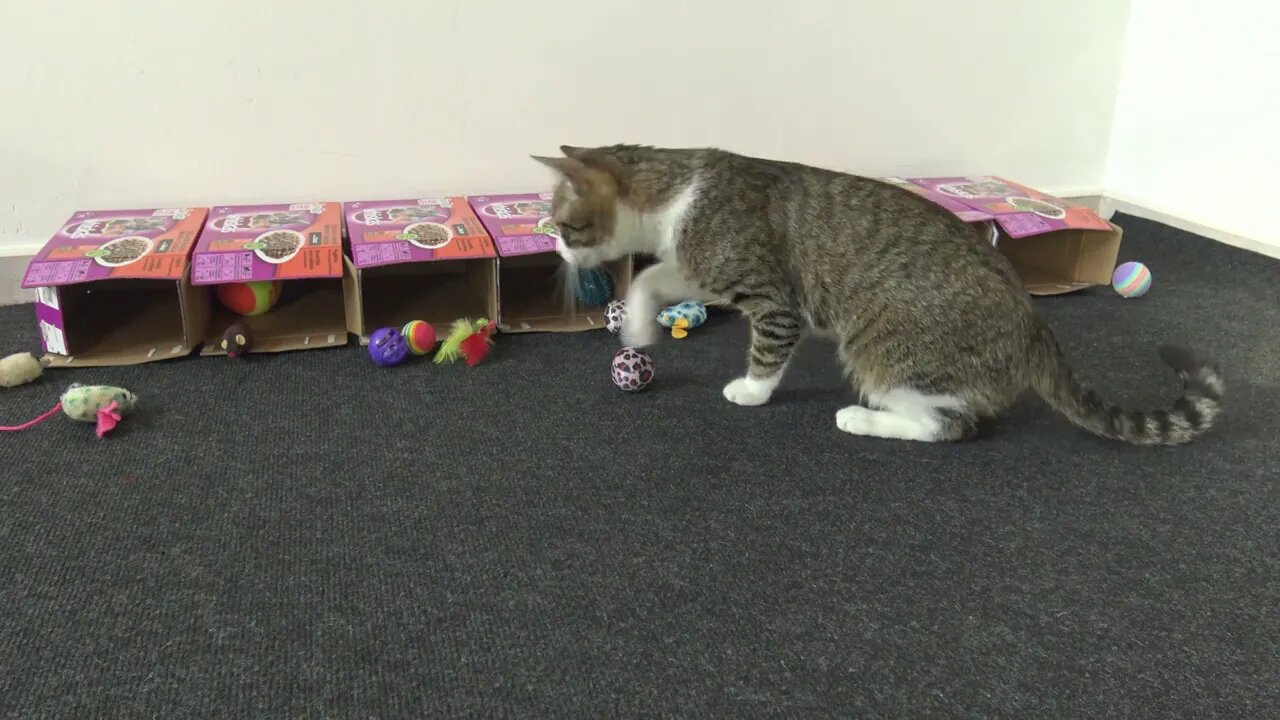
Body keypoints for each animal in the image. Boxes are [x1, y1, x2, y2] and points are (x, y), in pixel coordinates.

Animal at [535, 144, 1223, 443]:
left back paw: (862, 416)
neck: (676, 195)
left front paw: (752, 391)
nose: (559, 256)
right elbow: (651, 278)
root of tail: (1034, 324)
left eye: (562, 227)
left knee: (948, 424)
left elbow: (768, 351)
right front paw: (637, 329)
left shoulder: (769, 291)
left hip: (885, 347)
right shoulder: (697, 265)